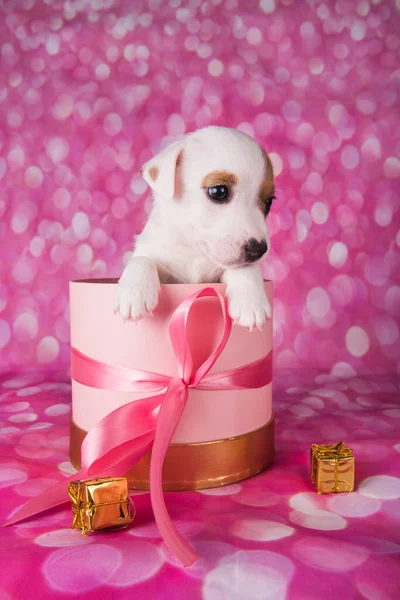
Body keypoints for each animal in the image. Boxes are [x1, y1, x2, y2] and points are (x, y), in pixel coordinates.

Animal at [115, 125, 276, 328]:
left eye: (269, 202)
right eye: (218, 191)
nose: (259, 249)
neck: (194, 251)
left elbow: (244, 267)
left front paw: (250, 301)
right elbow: (141, 260)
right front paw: (134, 293)